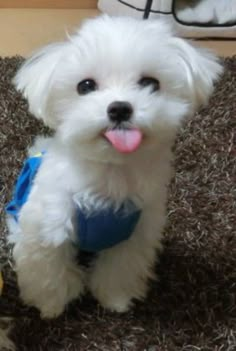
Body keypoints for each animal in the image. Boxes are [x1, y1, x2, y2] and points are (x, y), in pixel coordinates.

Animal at [6, 15, 223, 320]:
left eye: (150, 83)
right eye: (85, 86)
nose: (120, 108)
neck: (111, 171)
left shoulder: (135, 236)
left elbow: (120, 270)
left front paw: (116, 300)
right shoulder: (47, 231)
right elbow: (49, 272)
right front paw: (51, 307)